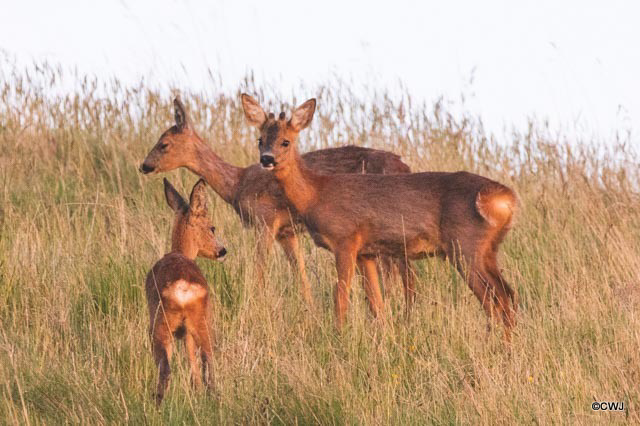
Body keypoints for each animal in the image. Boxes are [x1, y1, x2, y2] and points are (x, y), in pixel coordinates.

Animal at [140, 99, 410, 306]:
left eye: (164, 144)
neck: (238, 184)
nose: (144, 165)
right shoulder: (286, 232)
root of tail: (404, 166)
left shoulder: (265, 220)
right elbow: (301, 276)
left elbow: (259, 270)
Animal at [146, 178, 228, 404]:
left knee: (167, 367)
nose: (222, 251)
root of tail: (183, 287)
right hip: (200, 321)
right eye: (212, 227)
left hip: (163, 323)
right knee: (207, 361)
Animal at [242, 93, 516, 340]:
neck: (315, 194)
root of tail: (505, 198)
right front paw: (383, 339)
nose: (266, 159)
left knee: (496, 300)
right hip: (487, 250)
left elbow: (341, 297)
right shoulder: (367, 253)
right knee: (508, 295)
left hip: (465, 246)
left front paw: (337, 338)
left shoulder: (346, 239)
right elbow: (376, 304)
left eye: (286, 141)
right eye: (260, 139)